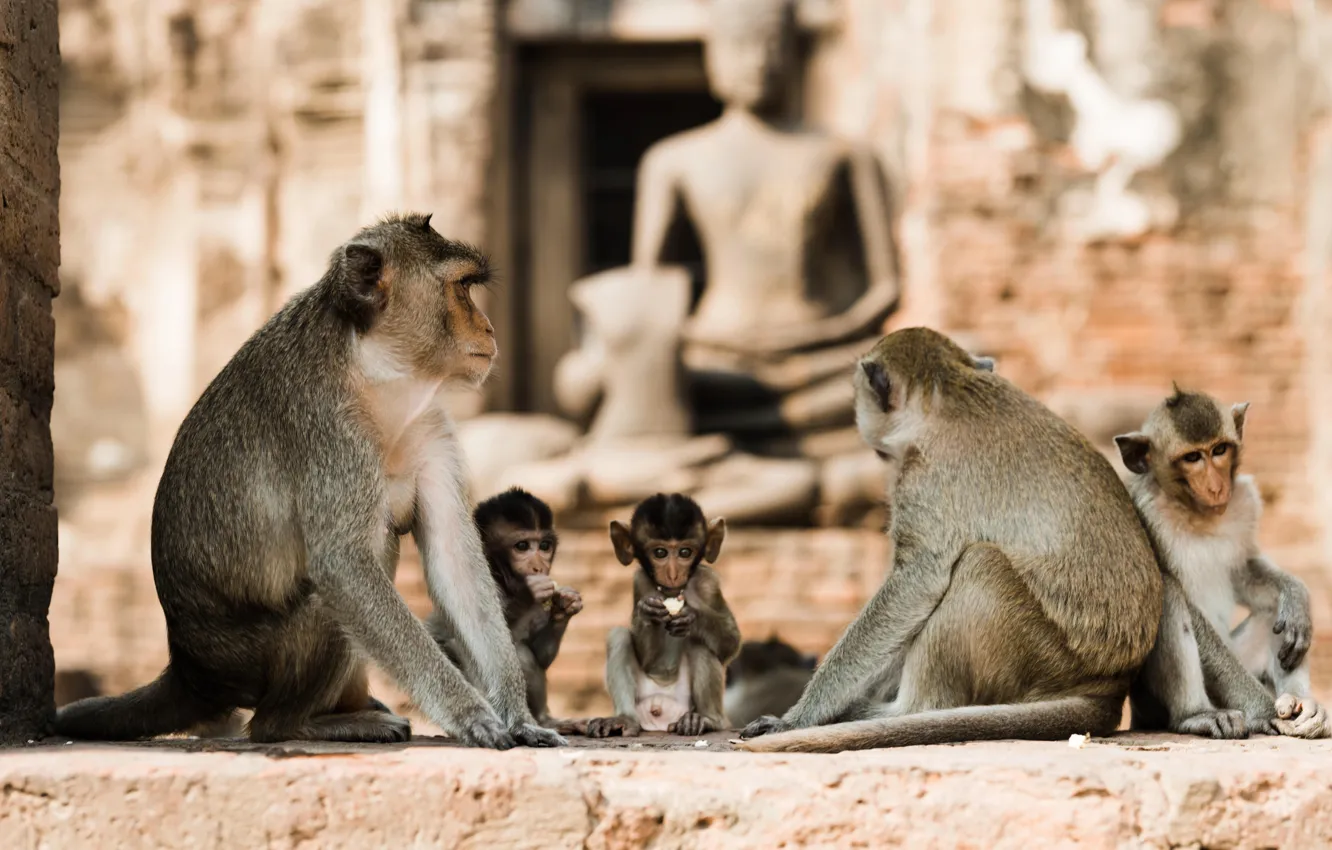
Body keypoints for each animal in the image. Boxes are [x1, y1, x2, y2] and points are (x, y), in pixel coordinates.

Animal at [54, 213, 564, 750]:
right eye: (462, 288)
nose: (488, 327)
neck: (375, 374)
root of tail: (190, 669)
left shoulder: (431, 426)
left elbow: (456, 561)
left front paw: (518, 716)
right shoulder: (327, 429)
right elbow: (344, 566)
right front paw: (471, 714)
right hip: (250, 658)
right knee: (328, 603)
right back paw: (300, 722)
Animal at [427, 487, 583, 730]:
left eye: (544, 546)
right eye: (522, 546)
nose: (539, 566)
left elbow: (540, 654)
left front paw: (565, 607)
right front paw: (528, 593)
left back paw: (543, 720)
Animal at [584, 493, 741, 738]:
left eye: (685, 552)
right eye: (660, 553)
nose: (673, 574)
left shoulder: (709, 583)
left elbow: (730, 644)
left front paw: (693, 617)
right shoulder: (640, 582)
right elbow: (647, 659)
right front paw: (647, 614)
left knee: (701, 645)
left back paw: (707, 720)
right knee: (618, 636)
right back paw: (624, 720)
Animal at [736, 326, 1164, 753]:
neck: (948, 391)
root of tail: (1108, 686)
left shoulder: (921, 476)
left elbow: (916, 583)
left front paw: (796, 718)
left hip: (1042, 654)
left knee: (980, 563)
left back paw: (902, 710)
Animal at [1114, 386, 1326, 739]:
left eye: (1219, 450)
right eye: (1192, 458)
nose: (1216, 487)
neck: (1198, 513)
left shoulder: (1244, 501)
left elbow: (1244, 571)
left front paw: (1296, 597)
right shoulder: (1145, 514)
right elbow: (1182, 602)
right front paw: (1263, 709)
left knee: (1272, 612)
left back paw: (1303, 704)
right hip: (1154, 704)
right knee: (1169, 593)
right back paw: (1196, 715)